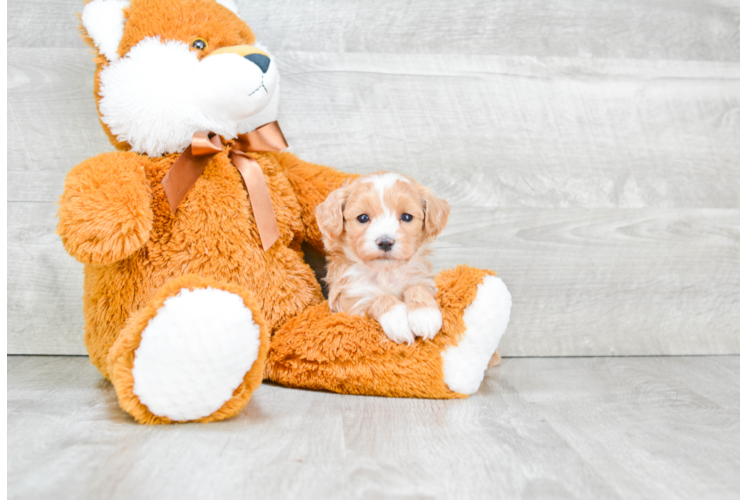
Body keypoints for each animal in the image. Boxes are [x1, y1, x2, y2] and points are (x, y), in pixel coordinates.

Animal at [316, 172, 450, 344]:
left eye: (406, 217)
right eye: (363, 218)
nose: (385, 242)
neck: (386, 272)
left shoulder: (422, 277)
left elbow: (418, 288)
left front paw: (425, 315)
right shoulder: (349, 299)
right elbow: (377, 299)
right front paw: (398, 320)